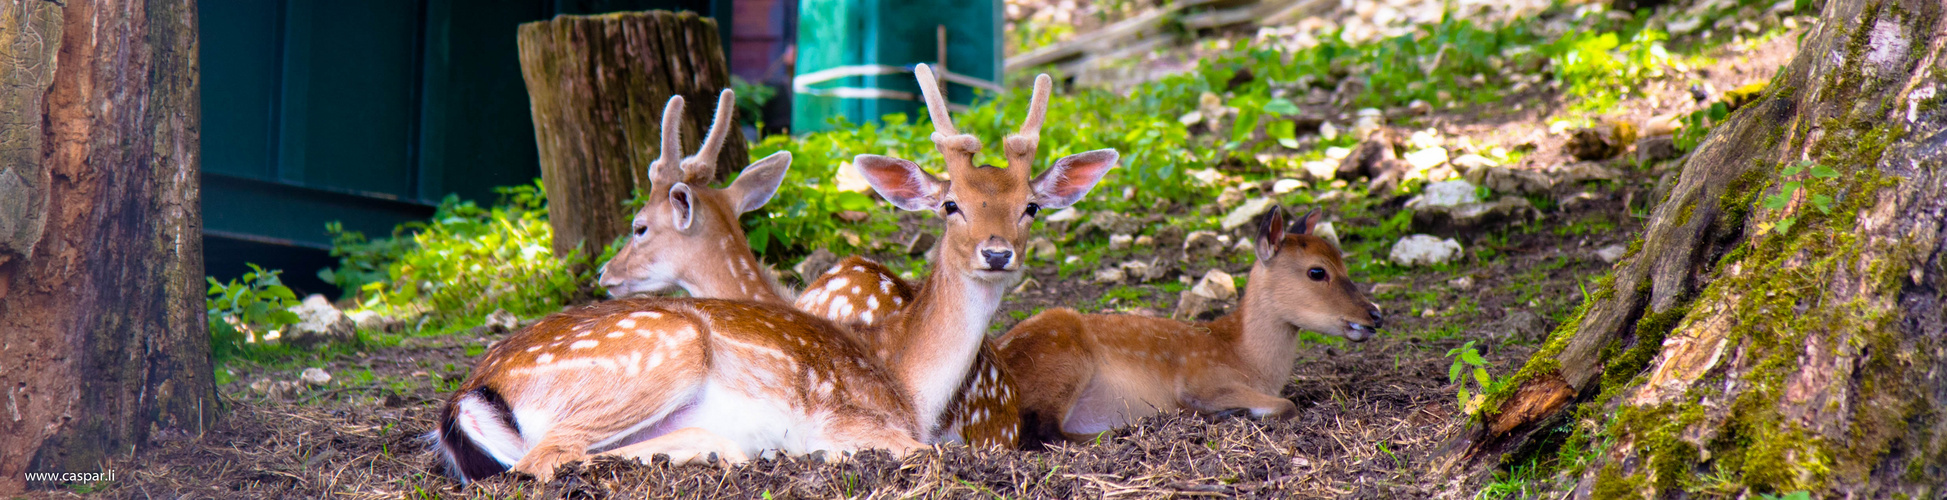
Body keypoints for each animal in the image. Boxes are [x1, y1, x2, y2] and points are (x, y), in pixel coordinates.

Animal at [436, 68, 1121, 480]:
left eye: (1030, 206)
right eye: (951, 204)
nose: (998, 252)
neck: (907, 381)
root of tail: (470, 393)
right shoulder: (857, 419)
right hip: (662, 351)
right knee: (546, 458)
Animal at [989, 206, 1386, 447]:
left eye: (1344, 263)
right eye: (1317, 271)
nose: (1375, 315)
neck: (1248, 360)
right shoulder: (1203, 380)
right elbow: (1286, 405)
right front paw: (1225, 414)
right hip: (1061, 358)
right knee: (1042, 431)